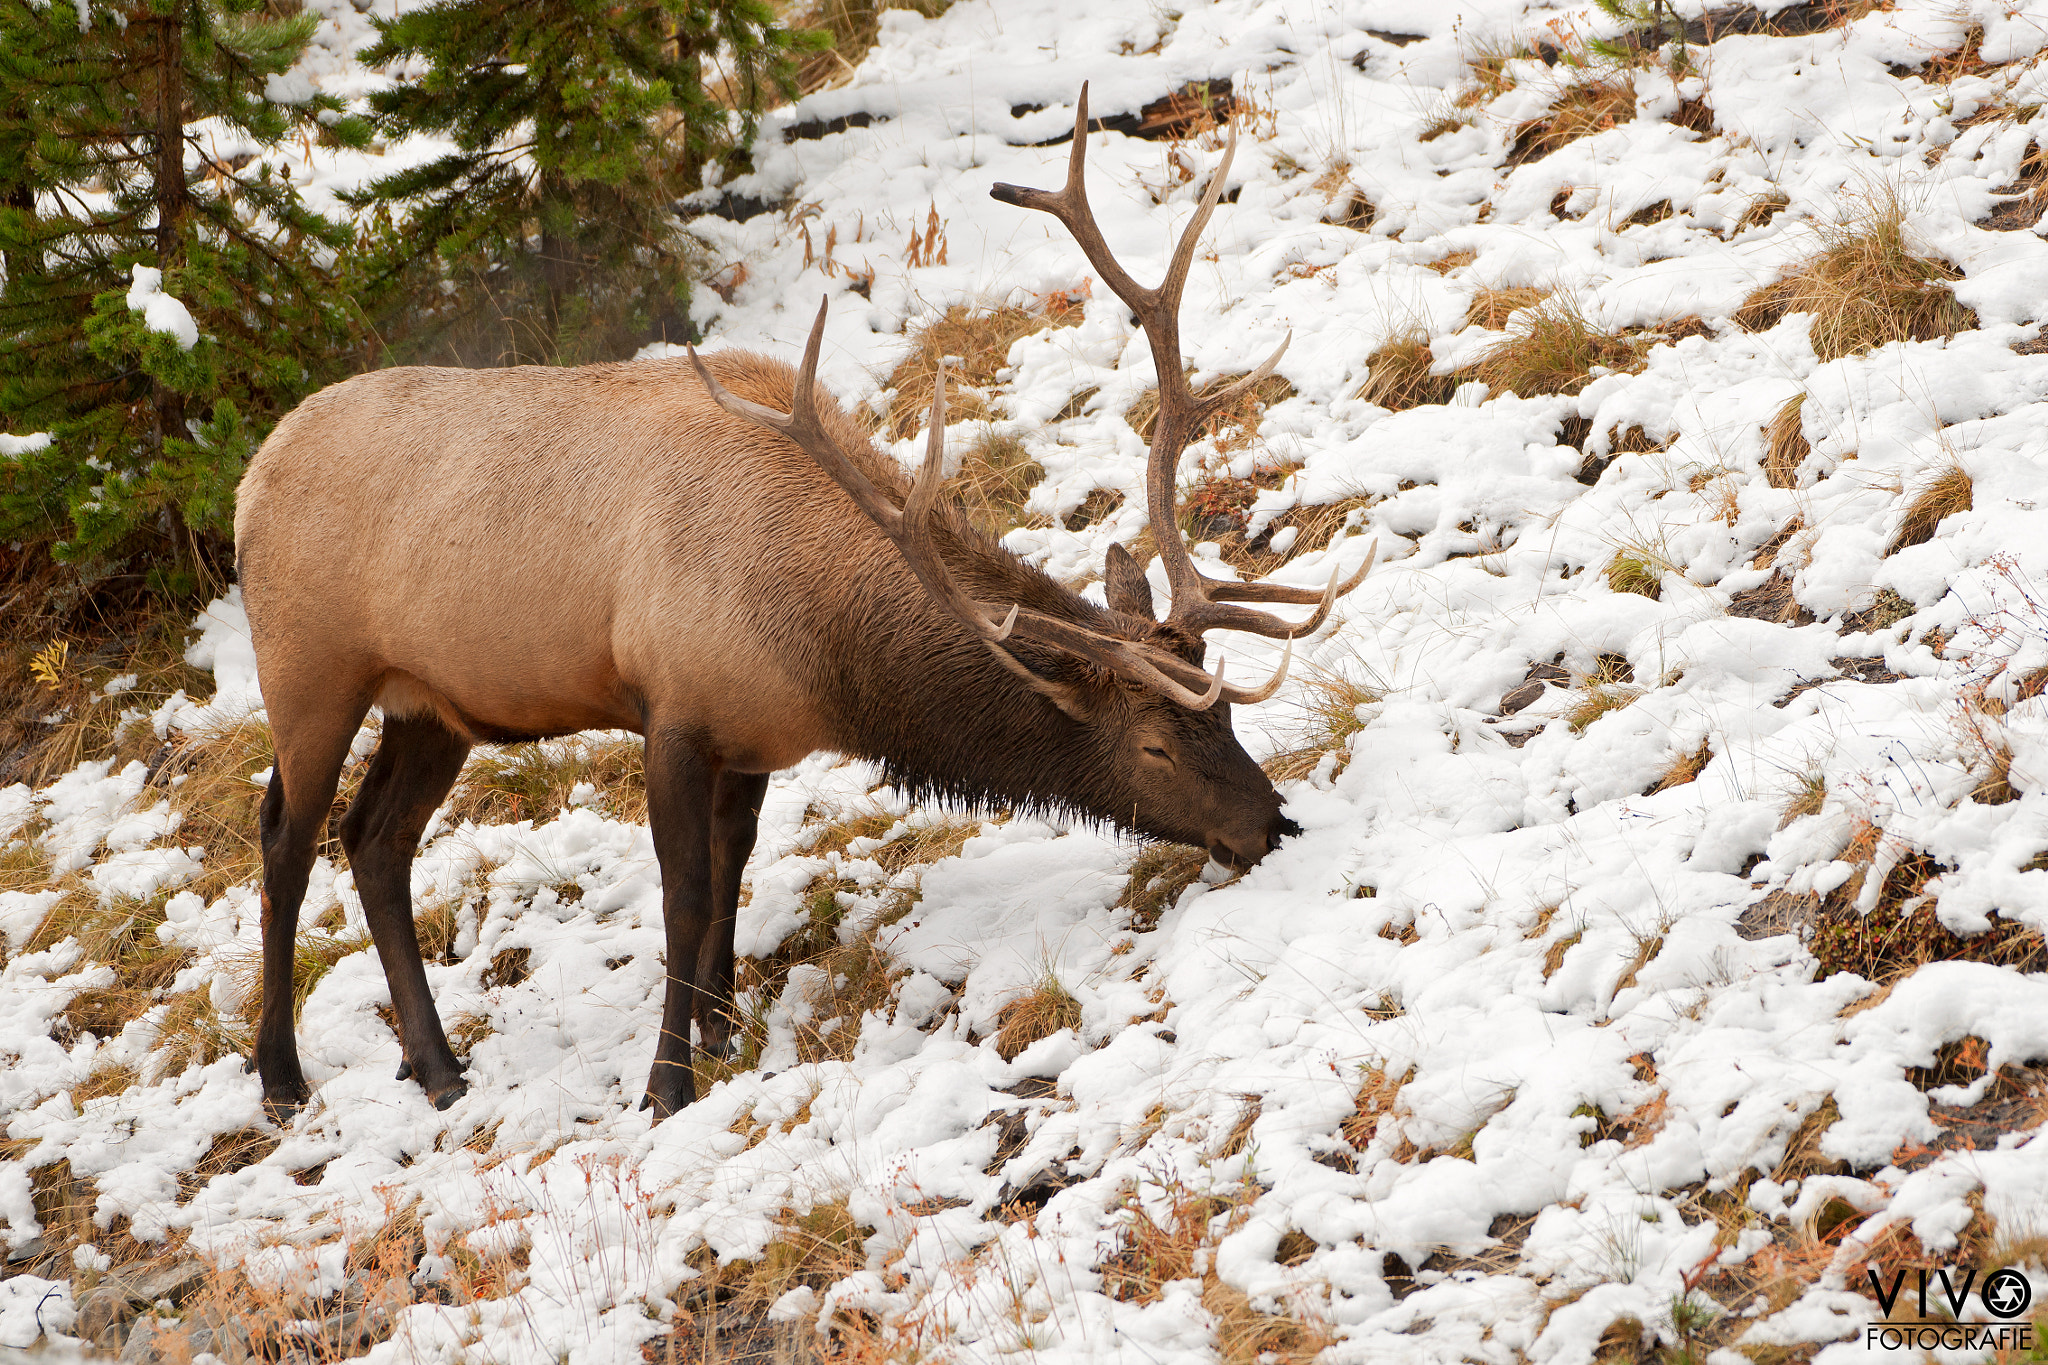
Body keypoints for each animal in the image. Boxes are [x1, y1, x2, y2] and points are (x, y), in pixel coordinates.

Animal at [235, 85, 1376, 1113]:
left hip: (432, 704)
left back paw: (434, 1065)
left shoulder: (749, 739)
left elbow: (730, 874)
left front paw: (721, 1025)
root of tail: (249, 481)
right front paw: (665, 1083)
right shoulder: (672, 710)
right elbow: (684, 892)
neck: (820, 651)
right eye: (1152, 746)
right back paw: (282, 1076)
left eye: (1227, 716)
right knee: (286, 836)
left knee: (373, 841)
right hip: (310, 671)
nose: (1271, 822)